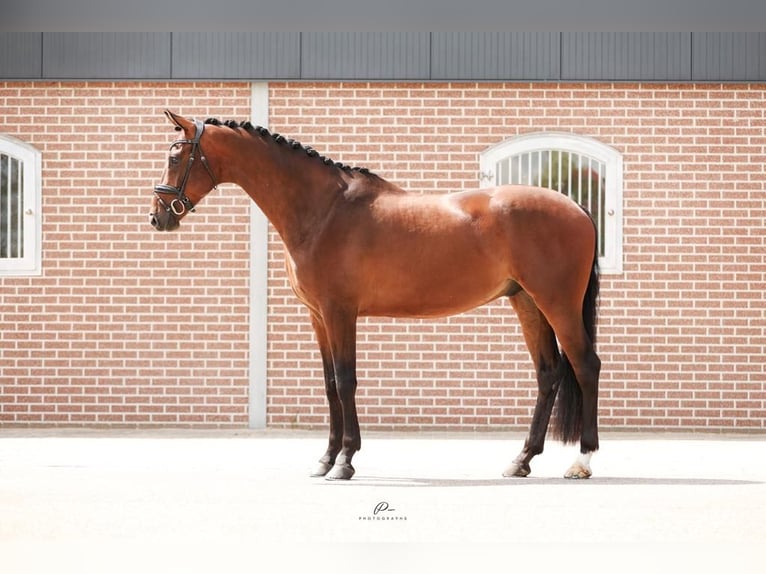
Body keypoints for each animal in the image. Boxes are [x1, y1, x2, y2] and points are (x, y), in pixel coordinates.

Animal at [150, 111, 604, 482]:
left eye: (175, 157)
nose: (158, 217)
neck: (323, 210)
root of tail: (577, 208)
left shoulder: (339, 312)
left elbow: (346, 380)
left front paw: (345, 461)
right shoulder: (318, 316)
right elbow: (330, 385)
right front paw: (325, 459)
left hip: (557, 303)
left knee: (585, 365)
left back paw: (582, 462)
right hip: (526, 302)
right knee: (548, 374)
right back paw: (521, 460)